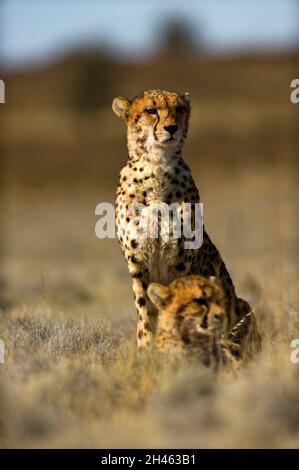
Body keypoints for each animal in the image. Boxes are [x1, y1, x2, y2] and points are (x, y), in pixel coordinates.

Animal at [113, 88, 262, 354]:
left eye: (180, 109)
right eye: (151, 110)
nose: (172, 127)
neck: (155, 167)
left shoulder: (180, 259)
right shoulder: (137, 262)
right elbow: (145, 310)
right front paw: (146, 348)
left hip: (242, 305)